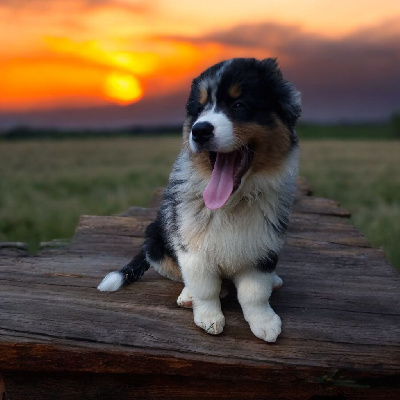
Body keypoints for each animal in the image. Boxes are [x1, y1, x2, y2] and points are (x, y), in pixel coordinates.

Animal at [98, 57, 302, 342]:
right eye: (199, 109)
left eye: (239, 105)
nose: (199, 131)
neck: (233, 203)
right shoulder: (191, 243)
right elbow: (205, 286)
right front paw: (208, 317)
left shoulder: (262, 242)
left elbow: (255, 292)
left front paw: (264, 321)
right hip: (156, 239)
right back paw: (188, 296)